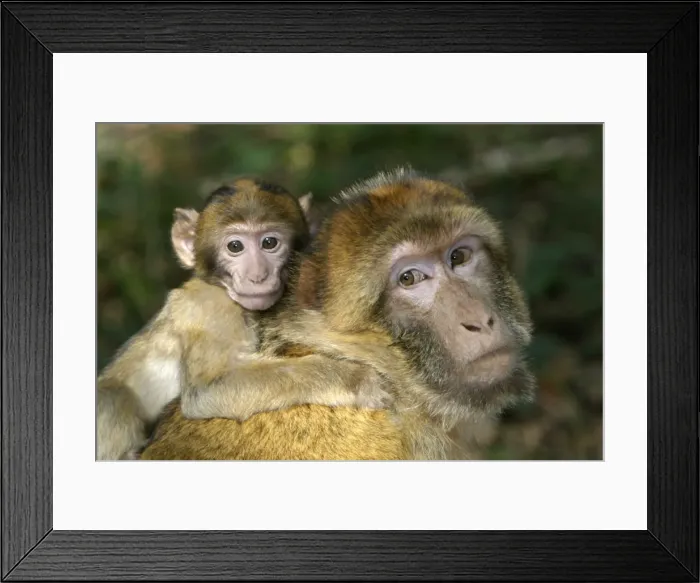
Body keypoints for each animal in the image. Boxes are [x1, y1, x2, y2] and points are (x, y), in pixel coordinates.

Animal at [97, 177, 390, 461]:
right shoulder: (210, 309)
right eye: (235, 246)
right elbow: (208, 390)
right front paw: (355, 379)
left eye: (269, 243)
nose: (258, 276)